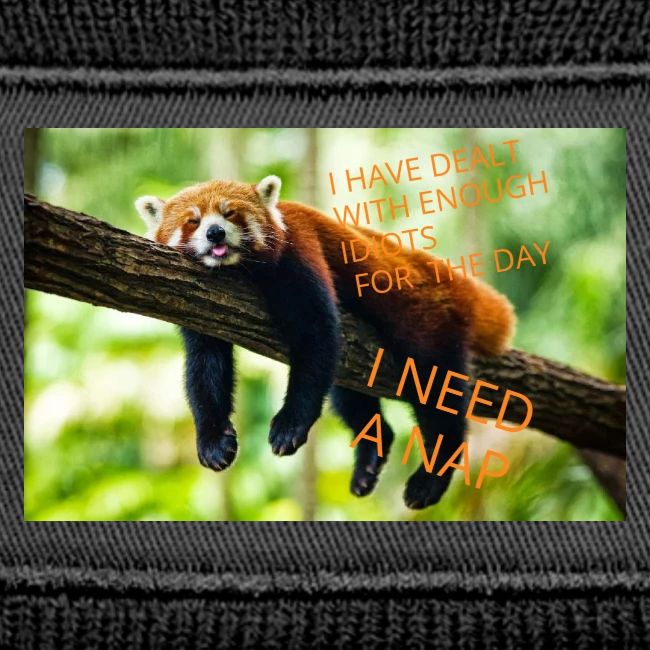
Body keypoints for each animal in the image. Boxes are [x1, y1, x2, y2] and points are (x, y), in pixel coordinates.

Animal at [136, 175, 515, 509]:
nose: (215, 232)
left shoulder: (300, 252)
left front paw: (290, 425)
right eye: (193, 221)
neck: (238, 270)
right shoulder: (200, 304)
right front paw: (213, 440)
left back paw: (431, 477)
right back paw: (370, 458)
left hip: (427, 322)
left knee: (436, 391)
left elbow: (316, 337)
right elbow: (205, 367)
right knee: (348, 394)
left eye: (230, 214)